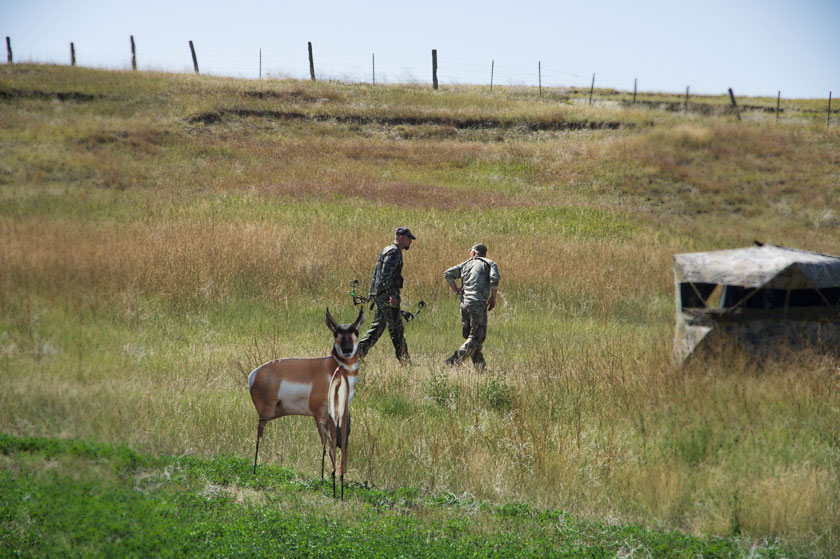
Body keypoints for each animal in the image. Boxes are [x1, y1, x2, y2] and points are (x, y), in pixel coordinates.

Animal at [251, 308, 366, 500]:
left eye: (355, 332)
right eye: (336, 333)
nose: (347, 350)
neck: (333, 368)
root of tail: (254, 374)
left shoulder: (341, 413)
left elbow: (341, 442)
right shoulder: (320, 415)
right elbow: (327, 445)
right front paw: (327, 481)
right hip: (265, 414)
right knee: (259, 435)